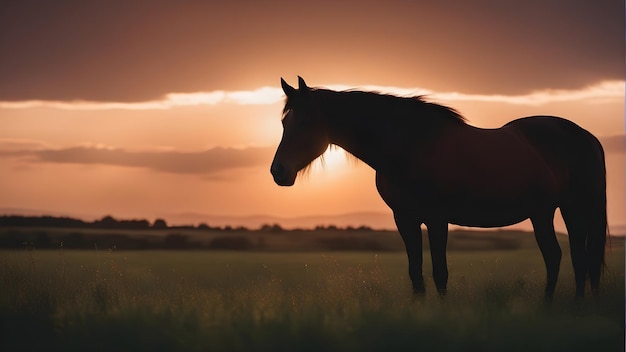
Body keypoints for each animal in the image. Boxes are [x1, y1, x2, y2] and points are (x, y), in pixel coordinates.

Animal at [268, 77, 604, 300]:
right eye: (284, 123)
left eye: (306, 121)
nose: (278, 171)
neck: (410, 147)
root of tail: (584, 135)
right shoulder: (405, 219)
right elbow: (415, 270)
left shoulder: (437, 218)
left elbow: (440, 271)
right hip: (548, 212)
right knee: (566, 256)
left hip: (566, 209)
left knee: (570, 257)